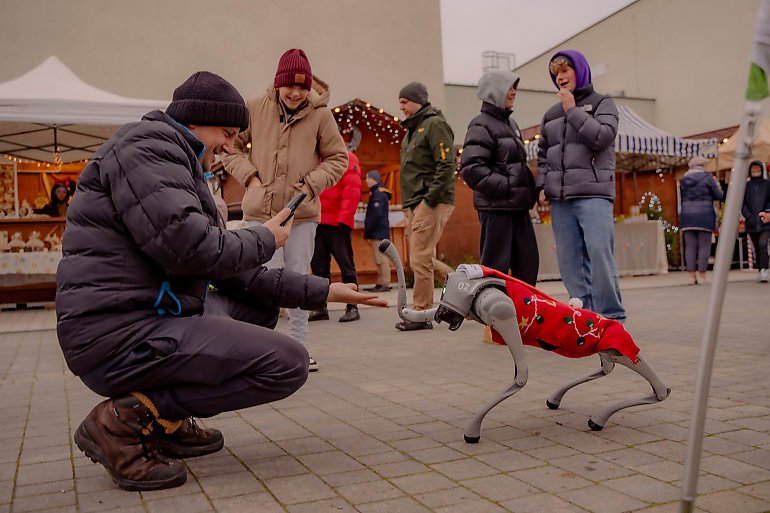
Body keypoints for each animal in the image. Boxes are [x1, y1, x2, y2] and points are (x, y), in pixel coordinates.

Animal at [378, 238, 664, 442]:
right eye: (444, 289)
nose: (384, 244)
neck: (479, 291)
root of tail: (612, 325)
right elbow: (521, 376)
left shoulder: (501, 311)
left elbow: (521, 377)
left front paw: (472, 432)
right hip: (600, 350)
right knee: (607, 368)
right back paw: (560, 400)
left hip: (616, 346)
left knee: (658, 387)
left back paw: (600, 418)